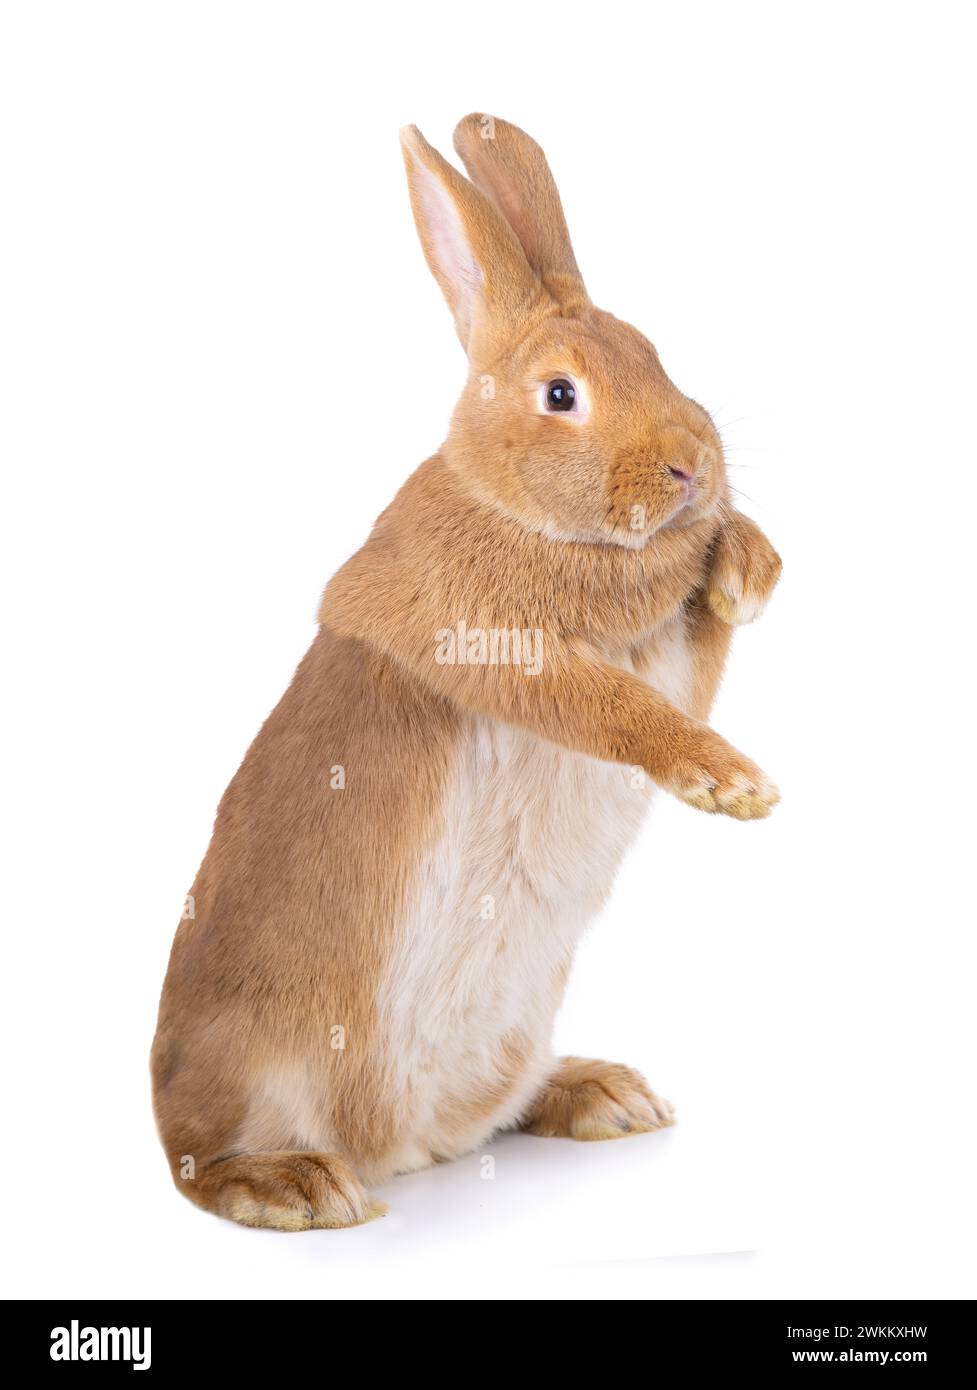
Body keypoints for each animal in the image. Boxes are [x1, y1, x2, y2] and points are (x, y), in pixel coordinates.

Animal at [151, 114, 782, 1231]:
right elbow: (612, 707)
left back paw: (604, 1094)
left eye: (654, 353)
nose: (689, 466)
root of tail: (403, 1149)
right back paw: (298, 1186)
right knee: (203, 1162)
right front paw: (731, 783)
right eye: (561, 394)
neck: (517, 508)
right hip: (247, 1067)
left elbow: (701, 630)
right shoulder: (493, 650)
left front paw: (747, 563)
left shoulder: (671, 650)